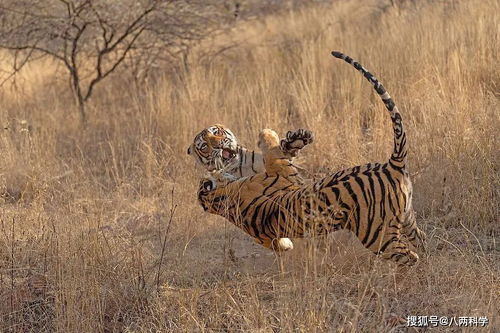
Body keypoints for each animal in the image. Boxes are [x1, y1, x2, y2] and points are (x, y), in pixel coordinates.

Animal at [195, 51, 426, 264]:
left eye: (215, 132)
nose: (218, 150)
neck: (220, 200)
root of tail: (392, 165)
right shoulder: (282, 172)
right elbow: (272, 153)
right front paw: (268, 134)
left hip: (406, 217)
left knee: (421, 240)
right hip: (379, 236)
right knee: (410, 257)